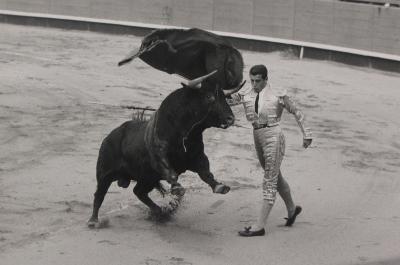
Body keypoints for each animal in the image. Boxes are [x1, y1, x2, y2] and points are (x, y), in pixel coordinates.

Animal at [88, 69, 242, 226]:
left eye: (224, 97)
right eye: (209, 96)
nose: (231, 119)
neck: (184, 133)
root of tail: (109, 137)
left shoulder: (198, 157)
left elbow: (206, 173)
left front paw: (220, 186)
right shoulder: (159, 156)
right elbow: (170, 172)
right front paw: (178, 189)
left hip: (147, 178)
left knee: (139, 191)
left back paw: (159, 211)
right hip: (105, 173)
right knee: (99, 194)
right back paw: (93, 221)